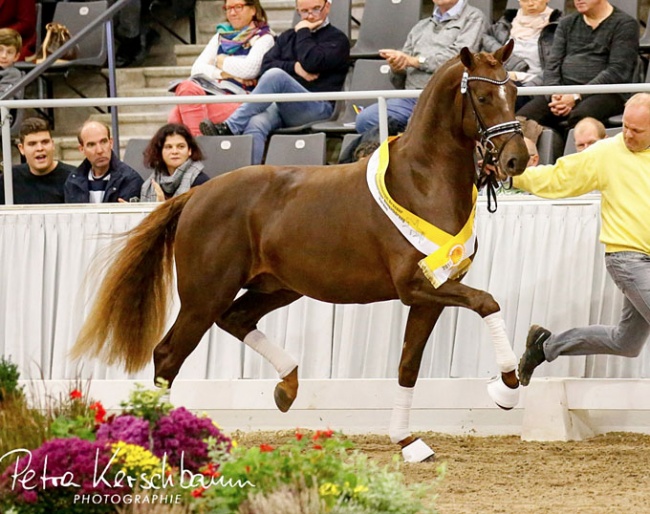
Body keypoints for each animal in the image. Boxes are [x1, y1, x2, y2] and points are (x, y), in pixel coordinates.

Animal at [72, 41, 528, 460]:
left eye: (514, 91)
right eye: (483, 97)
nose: (516, 160)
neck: (421, 182)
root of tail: (196, 195)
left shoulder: (431, 294)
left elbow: (408, 365)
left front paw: (409, 442)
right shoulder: (416, 286)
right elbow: (488, 303)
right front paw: (506, 388)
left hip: (277, 287)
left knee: (235, 320)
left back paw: (287, 387)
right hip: (205, 295)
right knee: (168, 355)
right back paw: (164, 443)